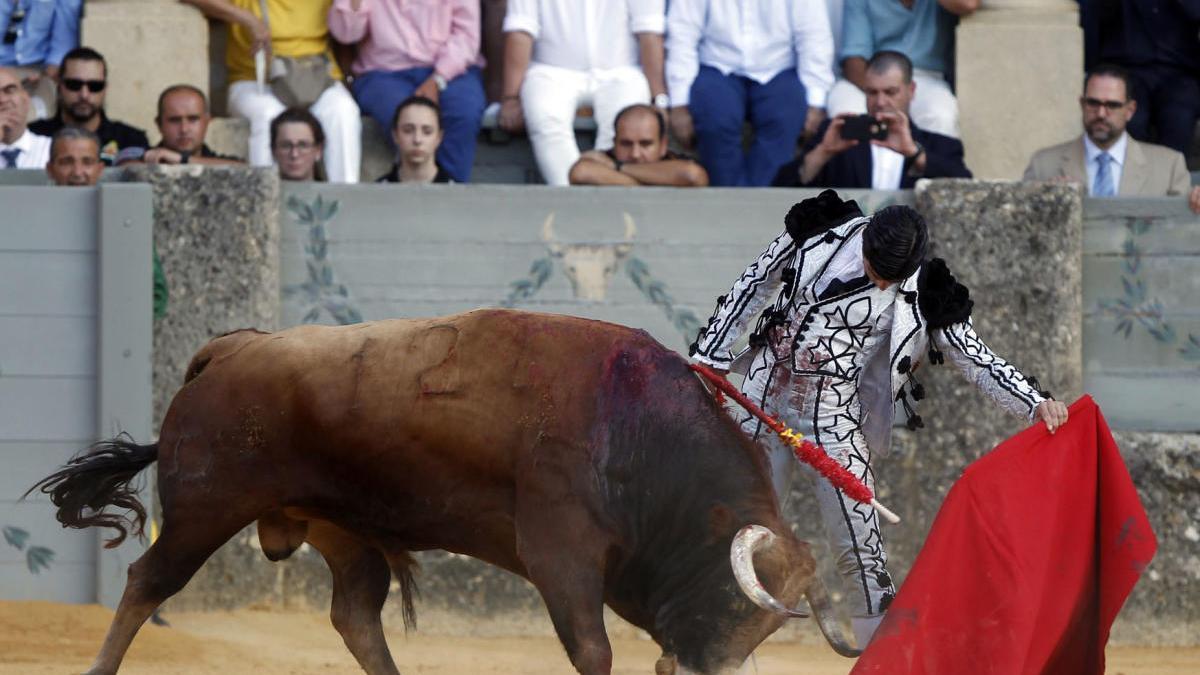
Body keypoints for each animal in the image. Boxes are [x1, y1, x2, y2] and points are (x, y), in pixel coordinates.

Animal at [28, 307, 859, 667]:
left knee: (356, 616)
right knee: (146, 582)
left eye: (765, 632)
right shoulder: (560, 555)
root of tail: (235, 346)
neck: (637, 434)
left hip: (341, 528)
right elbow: (592, 649)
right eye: (732, 606)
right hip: (205, 507)